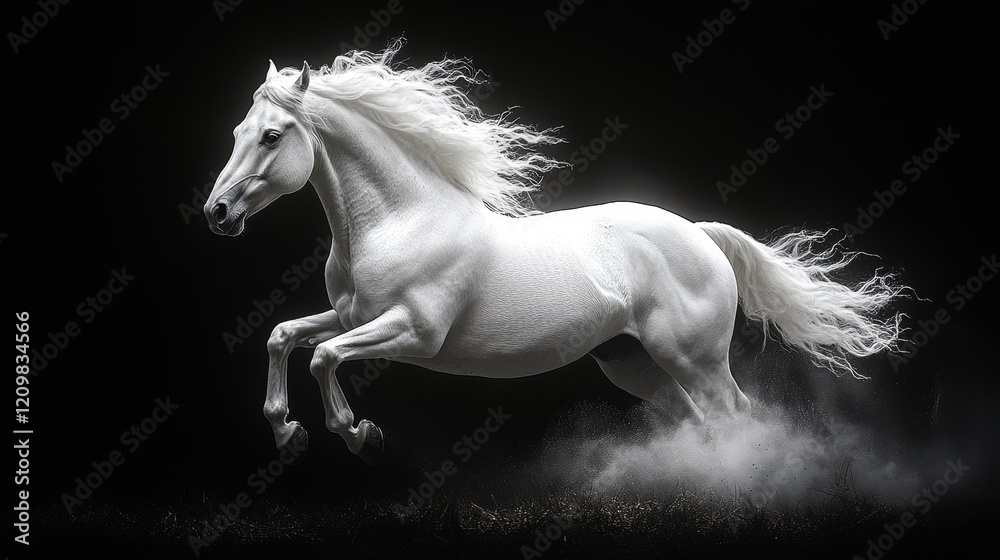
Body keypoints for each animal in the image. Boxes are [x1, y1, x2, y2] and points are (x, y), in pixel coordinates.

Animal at [203, 43, 904, 466]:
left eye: (272, 136)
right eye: (235, 131)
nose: (218, 214)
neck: (403, 220)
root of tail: (701, 234)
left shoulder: (413, 331)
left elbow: (323, 355)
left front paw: (360, 435)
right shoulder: (352, 316)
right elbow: (283, 335)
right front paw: (286, 428)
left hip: (694, 356)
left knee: (735, 414)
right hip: (635, 364)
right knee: (700, 419)